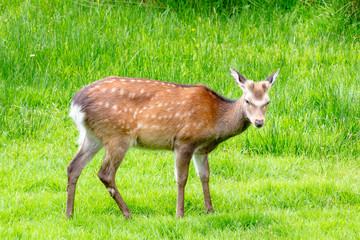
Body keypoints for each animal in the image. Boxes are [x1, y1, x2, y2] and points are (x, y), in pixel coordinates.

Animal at [65, 66, 278, 218]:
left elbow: (205, 176)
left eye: (267, 102)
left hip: (93, 136)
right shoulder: (184, 141)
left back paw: (69, 214)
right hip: (118, 135)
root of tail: (76, 104)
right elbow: (181, 178)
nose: (259, 122)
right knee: (105, 173)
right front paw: (179, 214)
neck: (215, 120)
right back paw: (128, 213)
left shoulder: (201, 149)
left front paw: (210, 210)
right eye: (248, 100)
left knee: (73, 166)